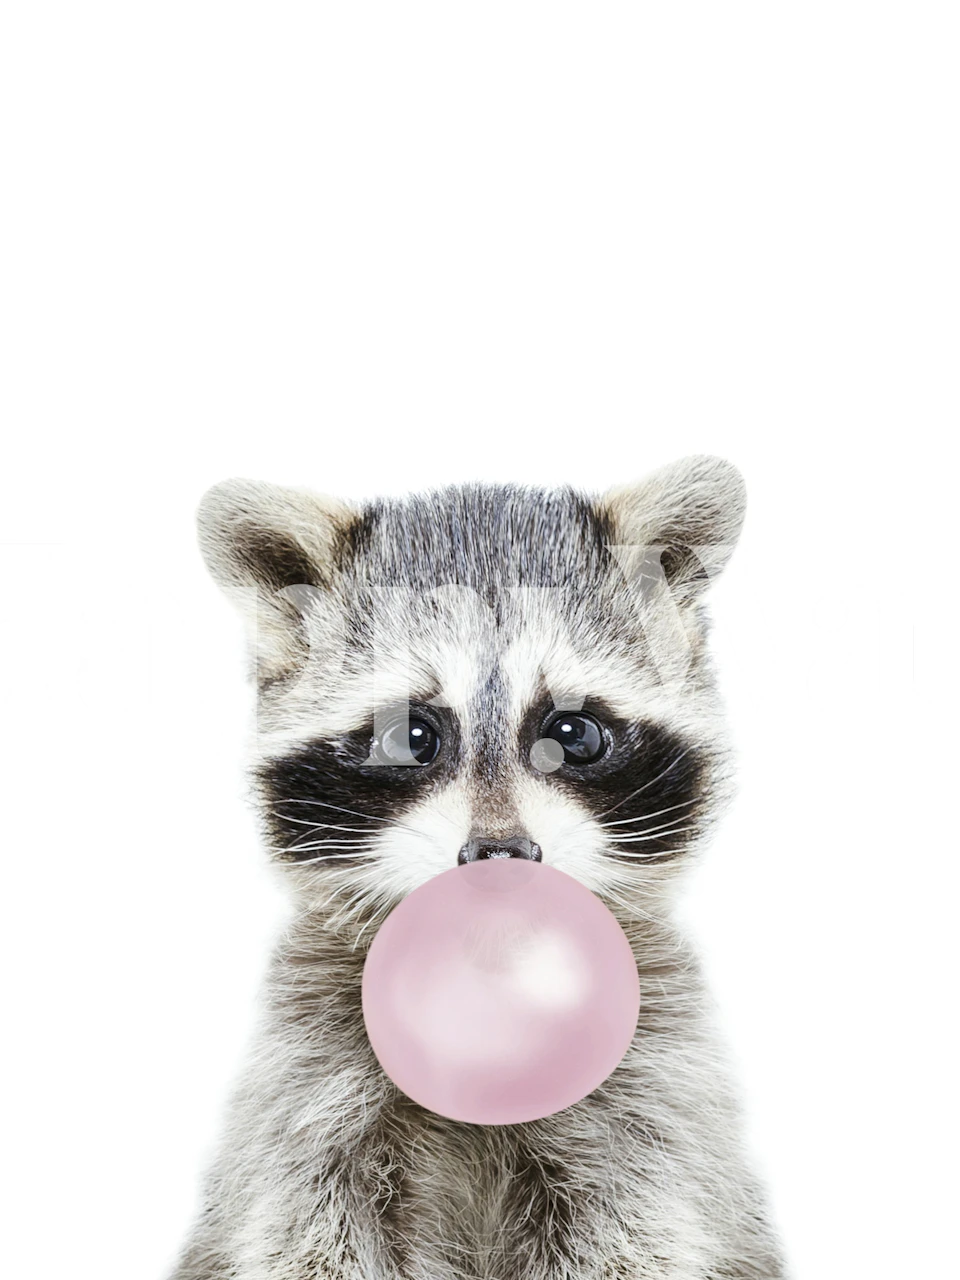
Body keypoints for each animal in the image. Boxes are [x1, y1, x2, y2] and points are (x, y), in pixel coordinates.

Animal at [171, 455, 786, 1280]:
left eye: (574, 732)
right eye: (409, 736)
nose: (499, 855)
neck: (491, 977)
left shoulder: (651, 1093)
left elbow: (638, 1227)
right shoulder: (310, 1086)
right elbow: (305, 1229)